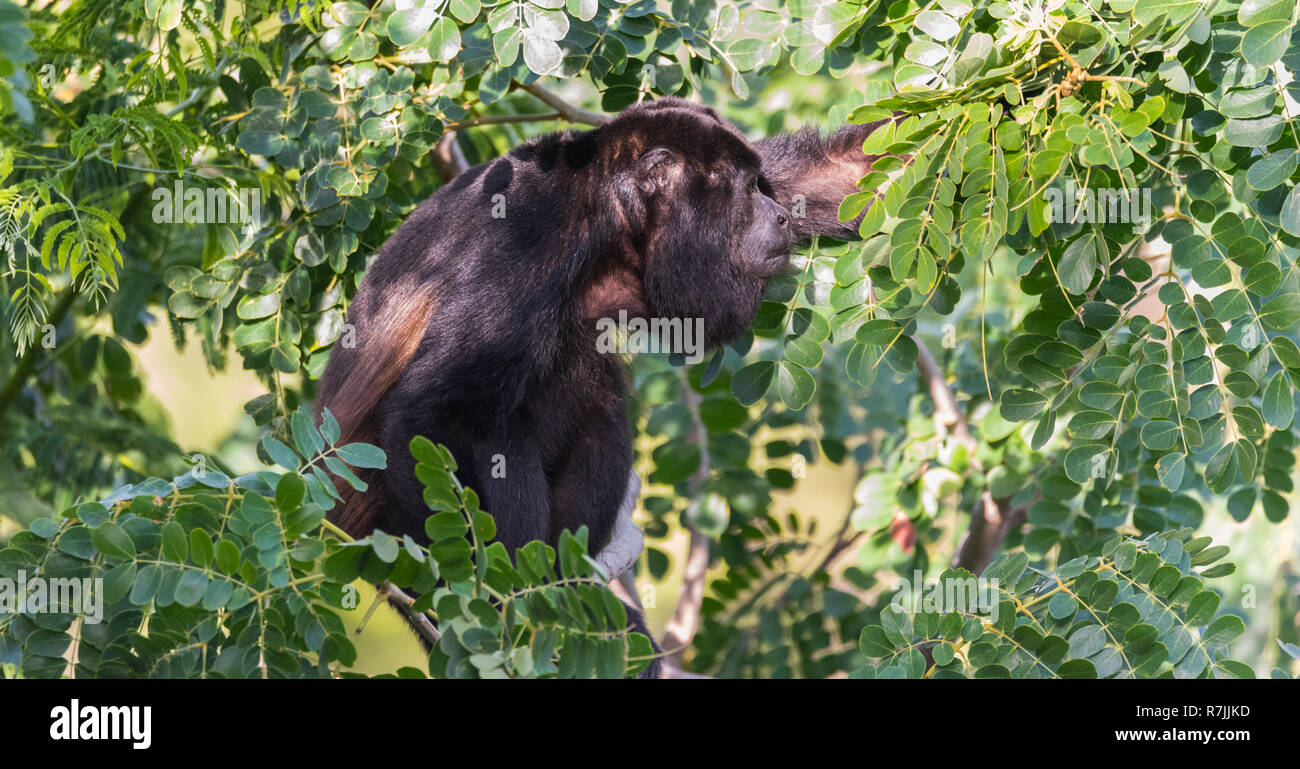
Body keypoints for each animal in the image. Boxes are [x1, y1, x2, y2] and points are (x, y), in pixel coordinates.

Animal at [315, 96, 889, 678]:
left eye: (763, 184)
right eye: (748, 189)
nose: (780, 214)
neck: (605, 215)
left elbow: (840, 173)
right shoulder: (524, 236)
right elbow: (431, 409)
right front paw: (503, 610)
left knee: (595, 390)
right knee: (501, 425)